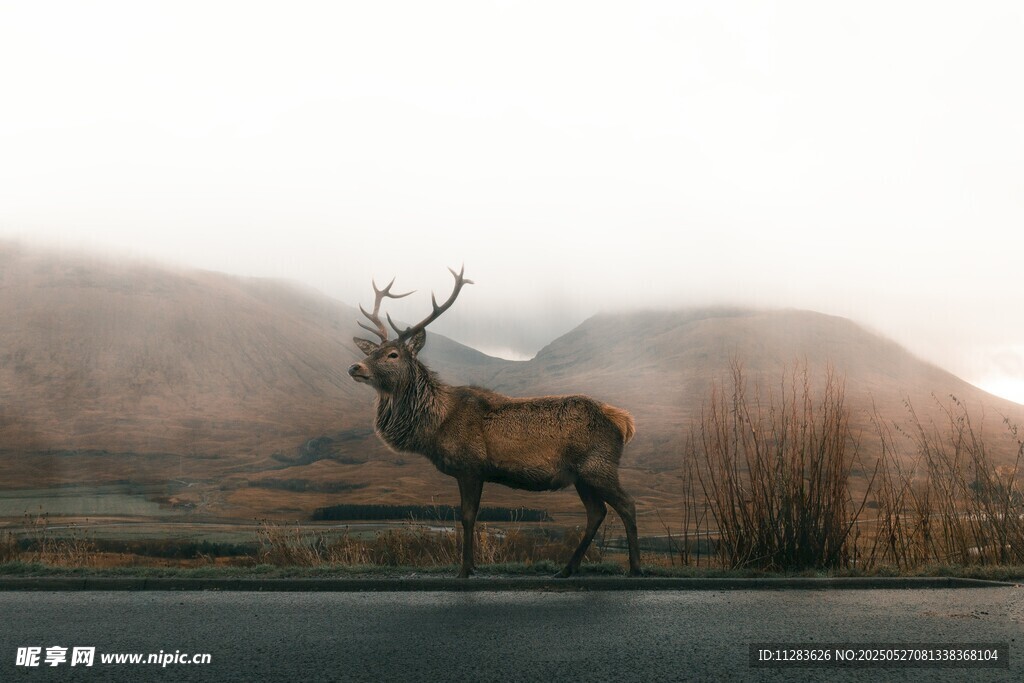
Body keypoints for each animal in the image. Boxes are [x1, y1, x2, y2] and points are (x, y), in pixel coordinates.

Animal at [347, 266, 641, 578]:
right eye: (370, 352)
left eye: (393, 354)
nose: (355, 367)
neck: (435, 426)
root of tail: (624, 422)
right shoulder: (472, 472)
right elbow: (471, 518)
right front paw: (473, 565)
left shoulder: (471, 466)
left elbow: (467, 517)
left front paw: (464, 569)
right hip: (581, 476)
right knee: (597, 512)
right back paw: (566, 569)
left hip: (599, 466)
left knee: (627, 504)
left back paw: (635, 567)